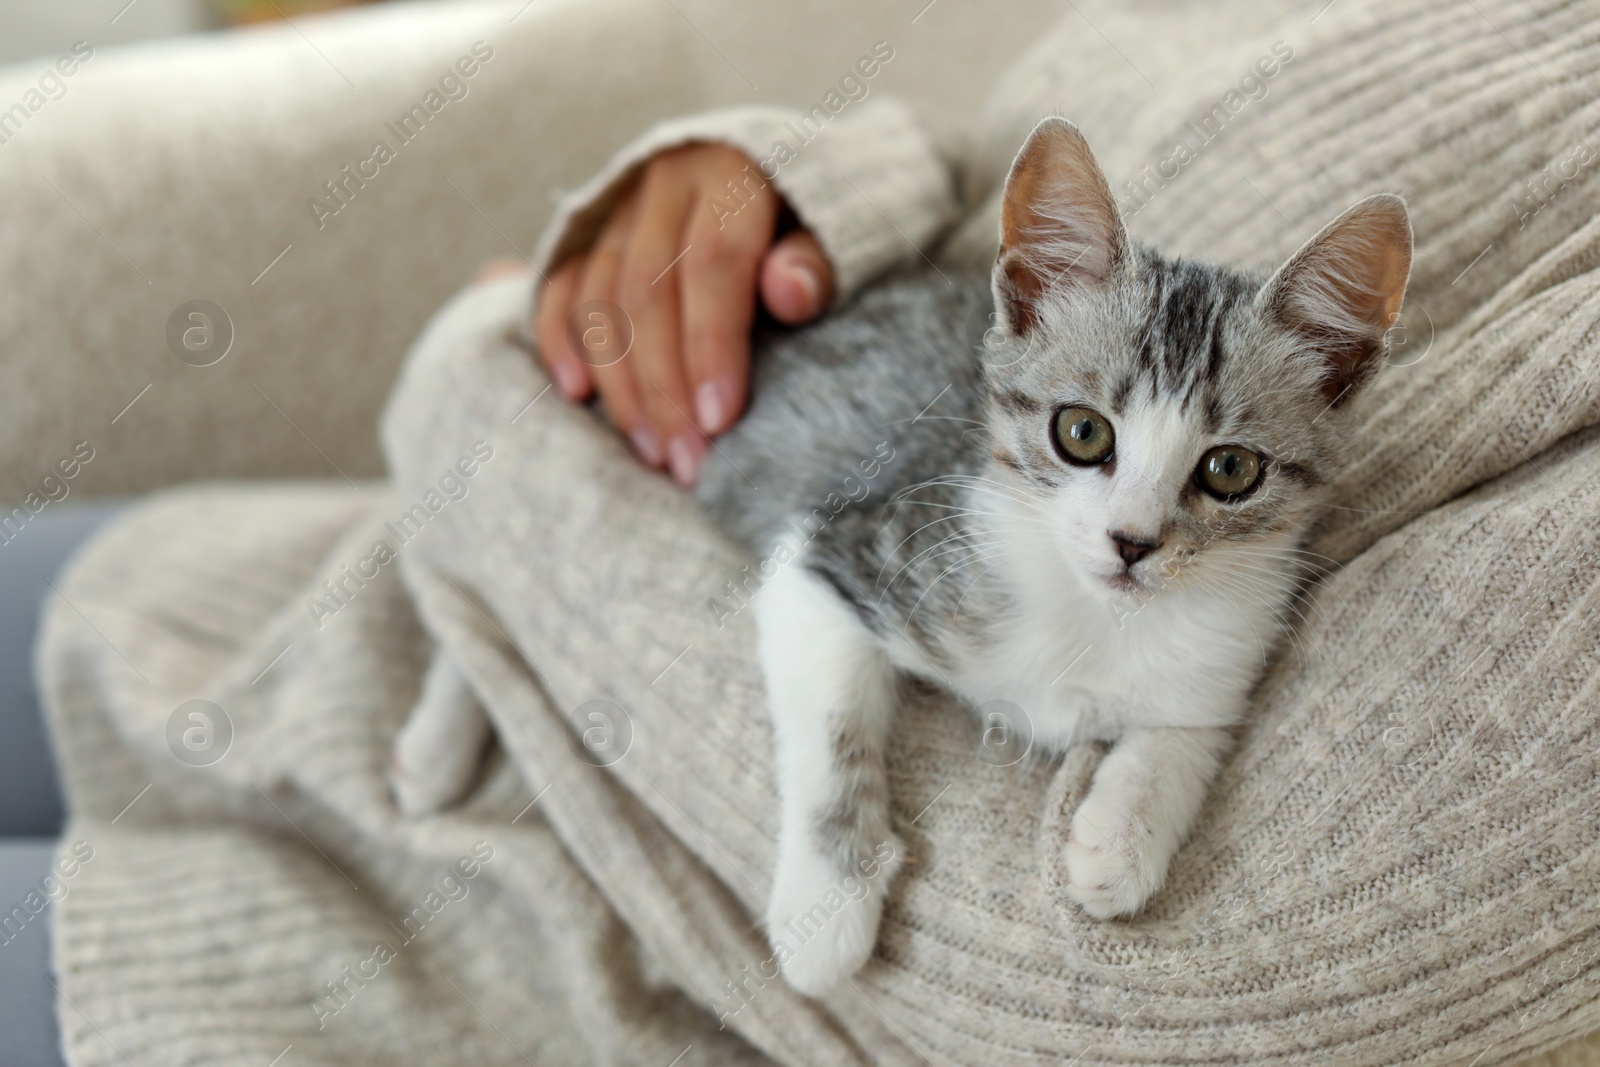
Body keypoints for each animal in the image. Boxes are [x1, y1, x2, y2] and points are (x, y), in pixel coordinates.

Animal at [694, 116, 1408, 991]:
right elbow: (832, 729)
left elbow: (1191, 724)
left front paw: (1121, 837)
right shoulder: (838, 551)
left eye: (1231, 470)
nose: (1133, 541)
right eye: (1082, 431)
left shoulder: (1236, 632)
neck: (1095, 613)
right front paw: (825, 904)